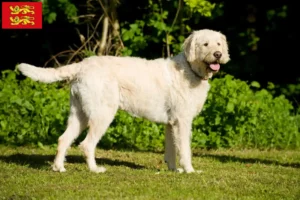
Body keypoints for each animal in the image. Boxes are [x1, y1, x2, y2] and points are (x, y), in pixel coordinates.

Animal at [17, 28, 231, 173]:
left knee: (63, 139)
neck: (190, 68)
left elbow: (171, 150)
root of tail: (82, 65)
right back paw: (95, 170)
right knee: (87, 144)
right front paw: (189, 171)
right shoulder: (183, 122)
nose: (218, 55)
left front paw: (173, 170)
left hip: (80, 115)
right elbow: (185, 150)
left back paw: (59, 167)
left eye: (218, 44)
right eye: (205, 44)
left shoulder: (171, 124)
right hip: (102, 115)